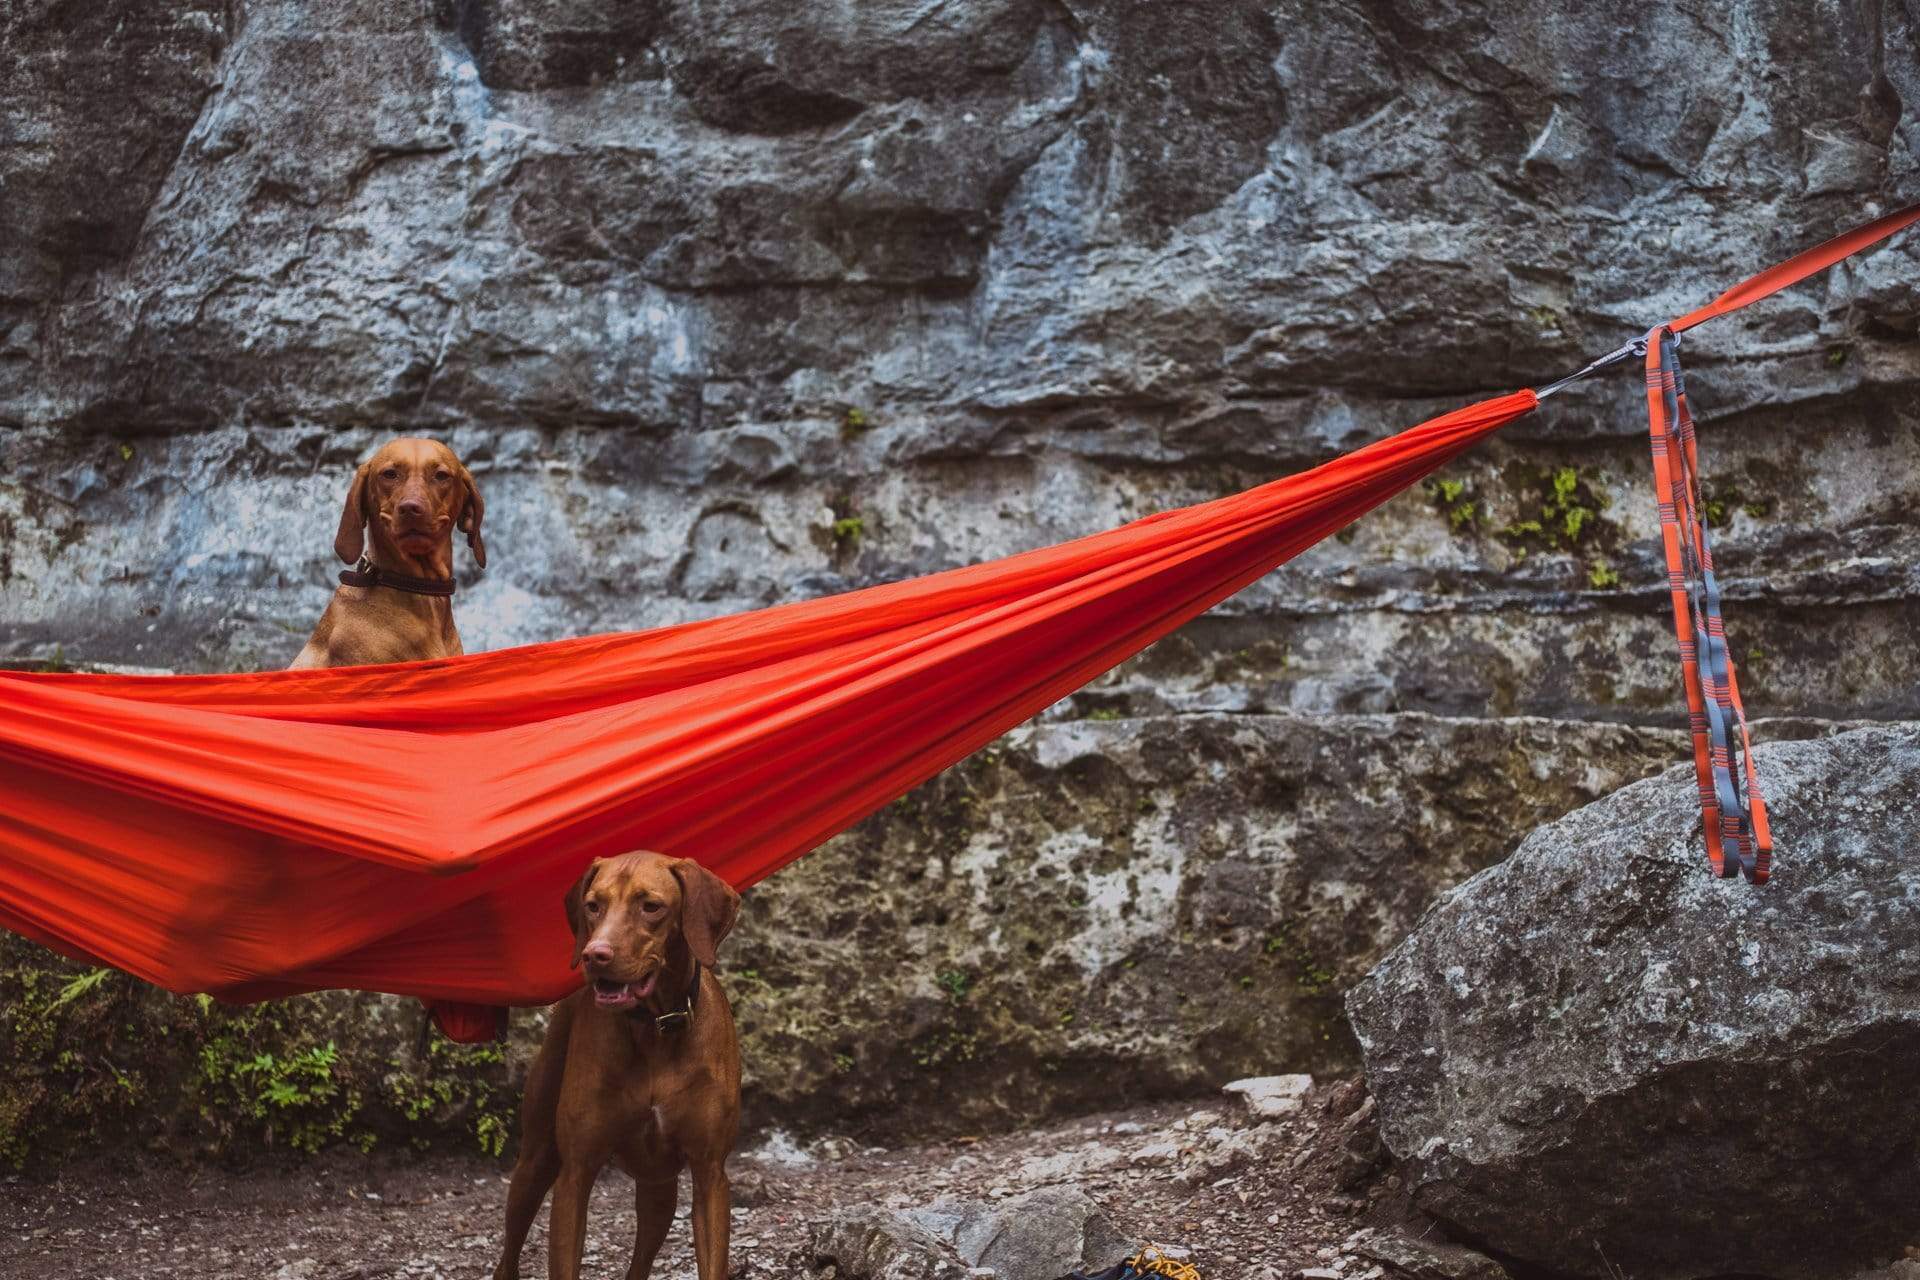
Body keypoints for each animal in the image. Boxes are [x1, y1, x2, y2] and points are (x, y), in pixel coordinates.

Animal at [495, 852, 741, 1280]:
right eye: (593, 905)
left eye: (651, 906)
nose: (594, 954)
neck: (654, 1028)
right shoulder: (575, 1174)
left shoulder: (710, 1173)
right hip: (535, 1163)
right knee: (509, 1251)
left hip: (659, 1187)